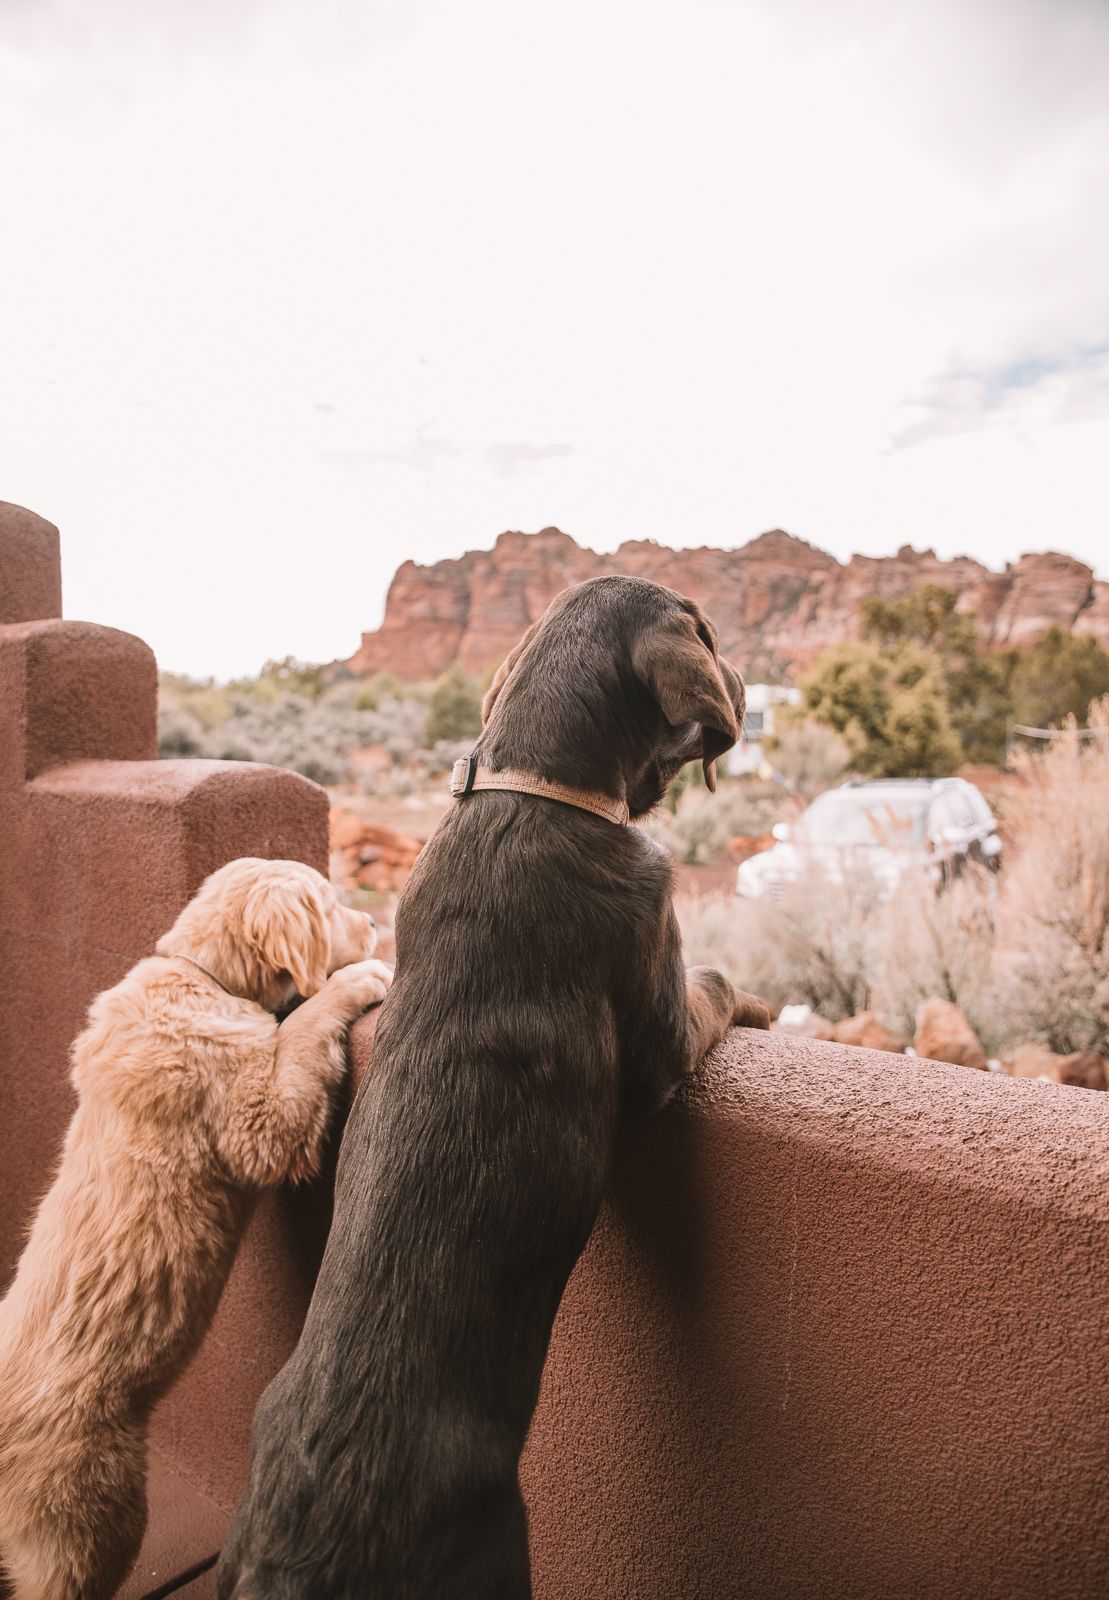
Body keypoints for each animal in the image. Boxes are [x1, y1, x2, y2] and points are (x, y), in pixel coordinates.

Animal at [0, 858, 391, 1600]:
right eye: (331, 907)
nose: (377, 924)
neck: (203, 977)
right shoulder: (257, 1126)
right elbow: (302, 1028)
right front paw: (359, 979)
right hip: (93, 1518)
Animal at [217, 578, 770, 1599]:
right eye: (709, 633)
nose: (746, 680)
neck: (535, 791)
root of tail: (289, 1552)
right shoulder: (662, 1028)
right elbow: (714, 988)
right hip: (494, 1549)